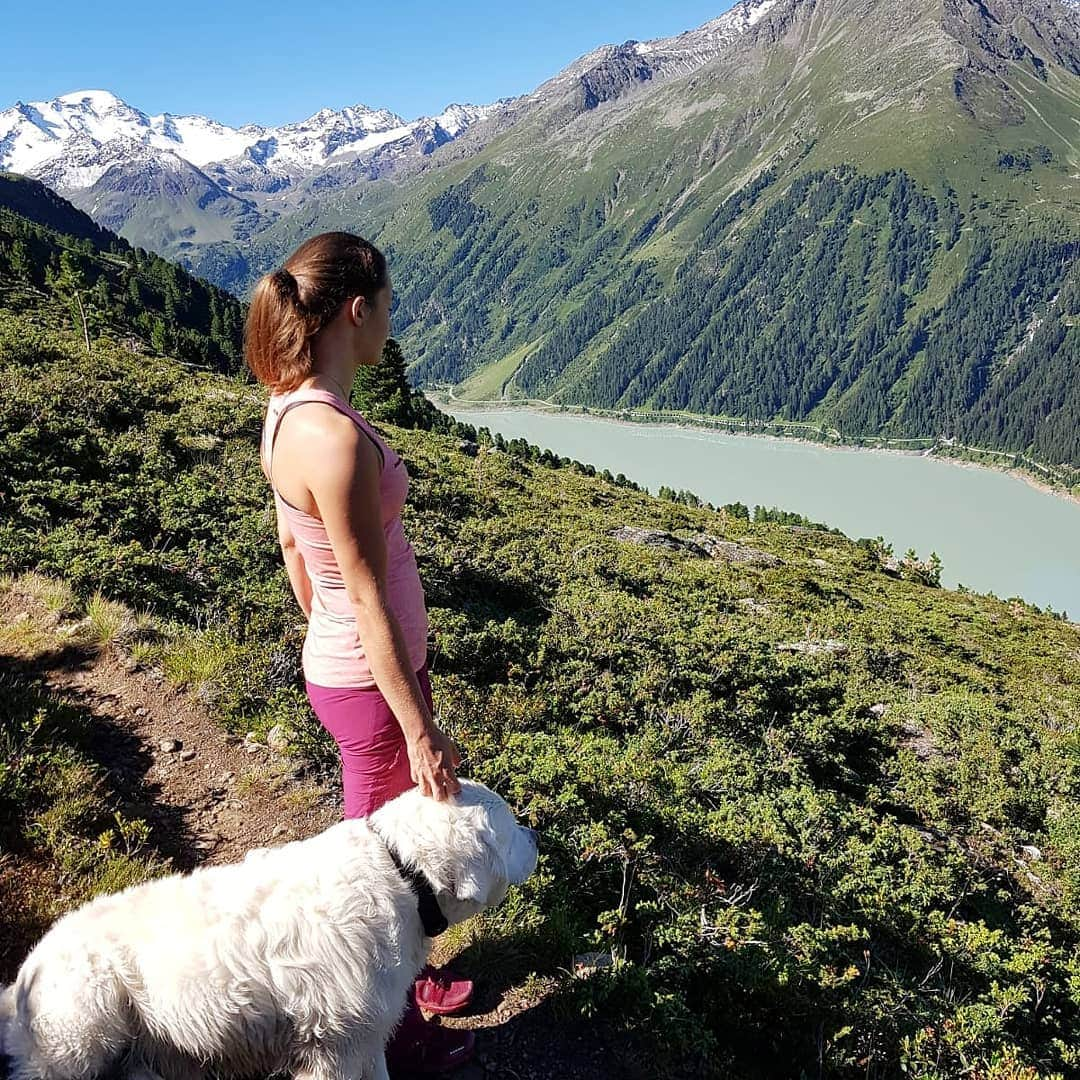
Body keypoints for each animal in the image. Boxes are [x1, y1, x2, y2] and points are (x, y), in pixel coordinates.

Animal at [0, 781, 537, 1075]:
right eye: (511, 826)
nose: (534, 835)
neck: (403, 874)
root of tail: (26, 974)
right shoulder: (335, 1047)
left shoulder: (366, 1036)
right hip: (76, 1040)